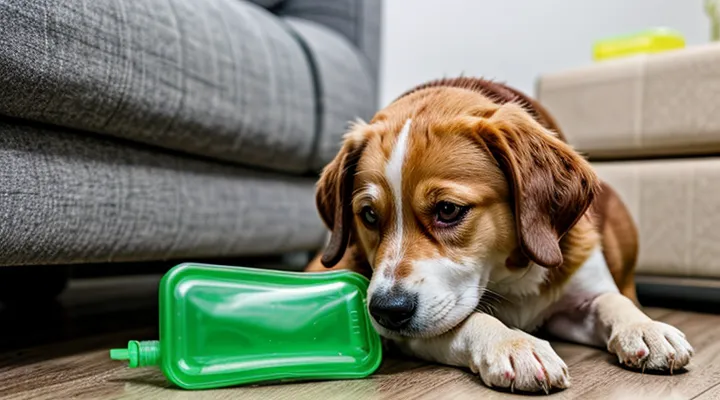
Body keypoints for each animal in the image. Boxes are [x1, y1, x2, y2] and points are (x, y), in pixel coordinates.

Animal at [304, 76, 692, 392]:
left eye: (448, 210)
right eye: (369, 215)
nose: (387, 310)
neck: (508, 275)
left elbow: (610, 301)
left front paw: (645, 328)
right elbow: (468, 319)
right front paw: (514, 344)